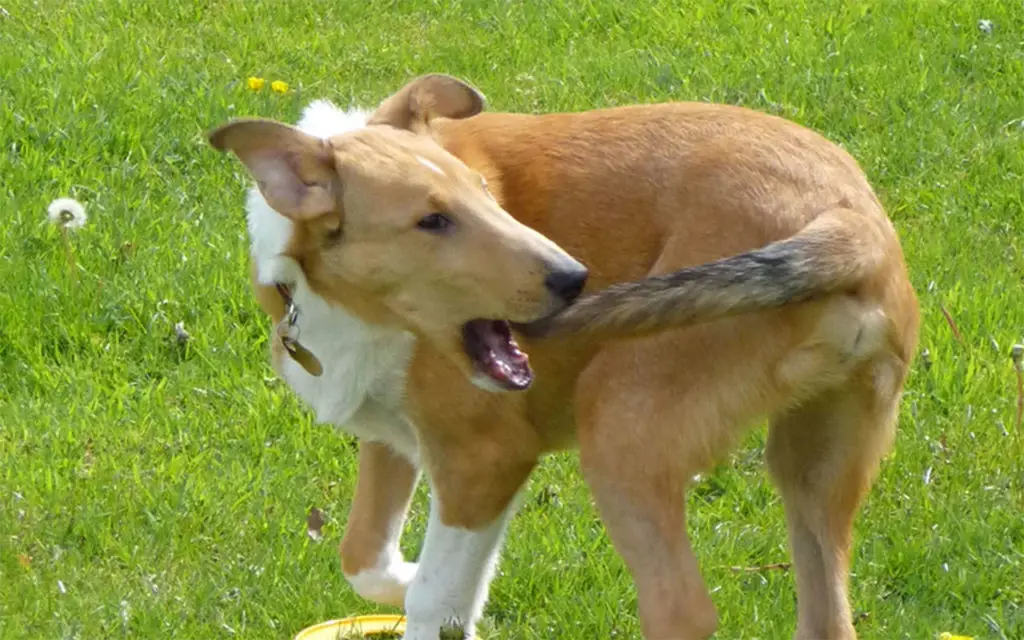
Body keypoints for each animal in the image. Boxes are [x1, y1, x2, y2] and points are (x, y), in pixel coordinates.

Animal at [207, 73, 921, 638]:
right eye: (432, 221)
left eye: (485, 193)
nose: (574, 279)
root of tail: (849, 220)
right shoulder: (392, 438)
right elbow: (364, 555)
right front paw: (410, 578)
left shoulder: (483, 458)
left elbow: (434, 598)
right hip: (817, 459)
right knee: (828, 617)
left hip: (620, 428)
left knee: (683, 610)